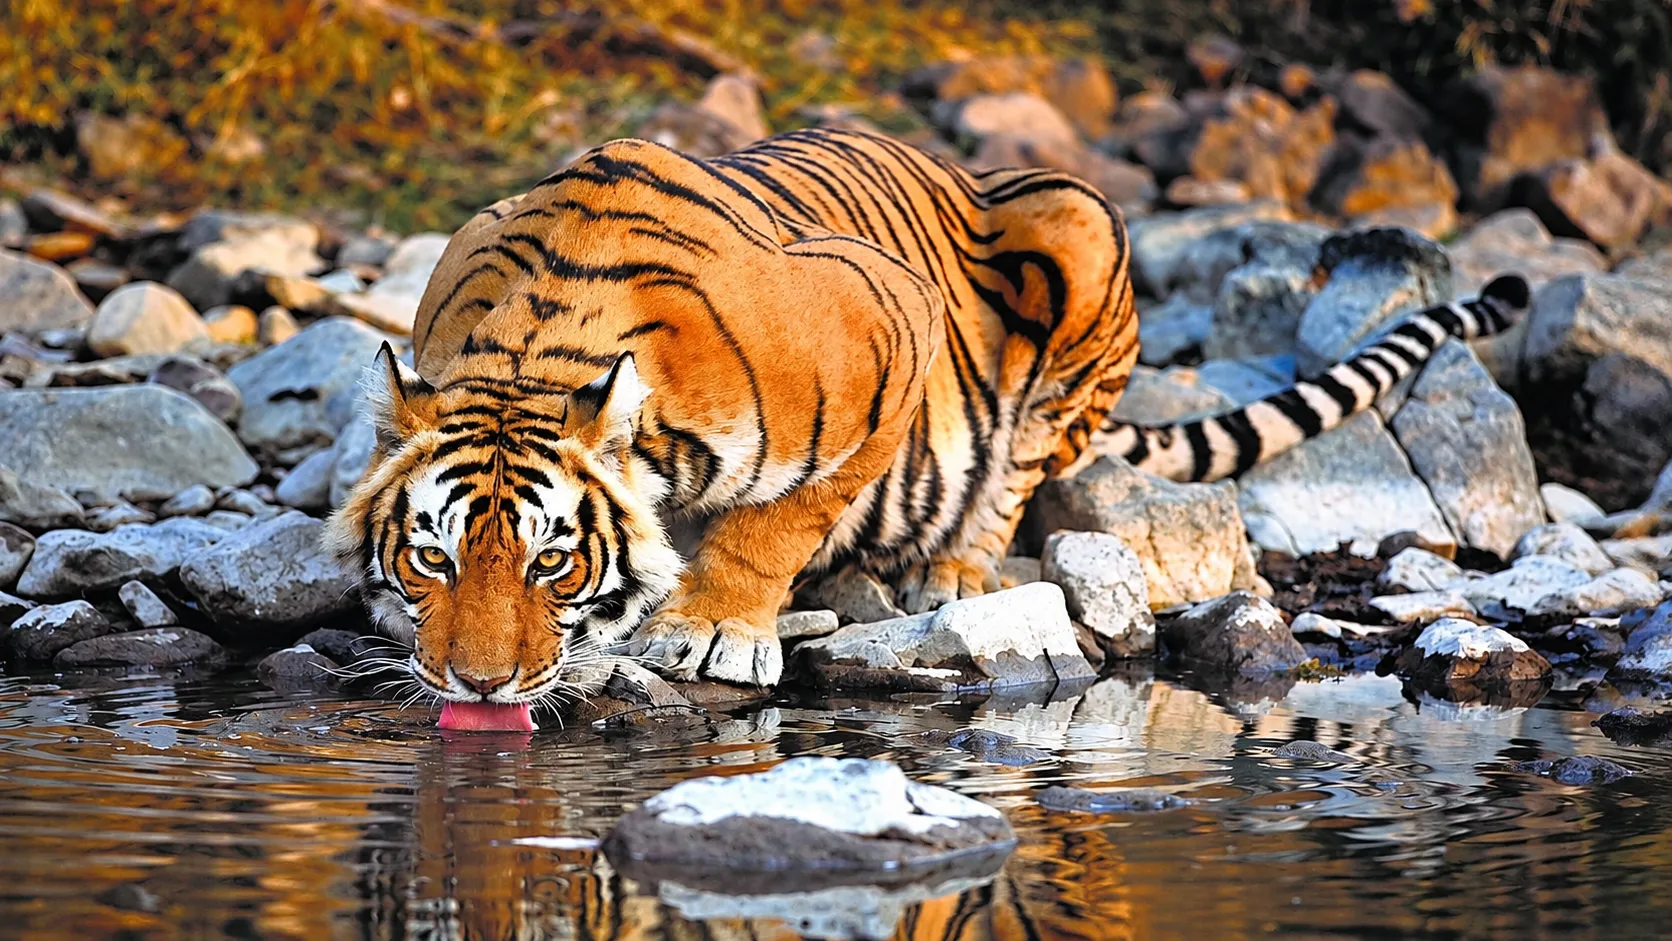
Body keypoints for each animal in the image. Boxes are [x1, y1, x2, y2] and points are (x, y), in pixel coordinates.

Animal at [324, 125, 1530, 703]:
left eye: (552, 562)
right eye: (430, 558)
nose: (476, 685)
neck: (534, 348)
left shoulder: (889, 331)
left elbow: (779, 523)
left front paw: (715, 629)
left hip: (1079, 229)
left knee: (1014, 471)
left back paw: (949, 575)